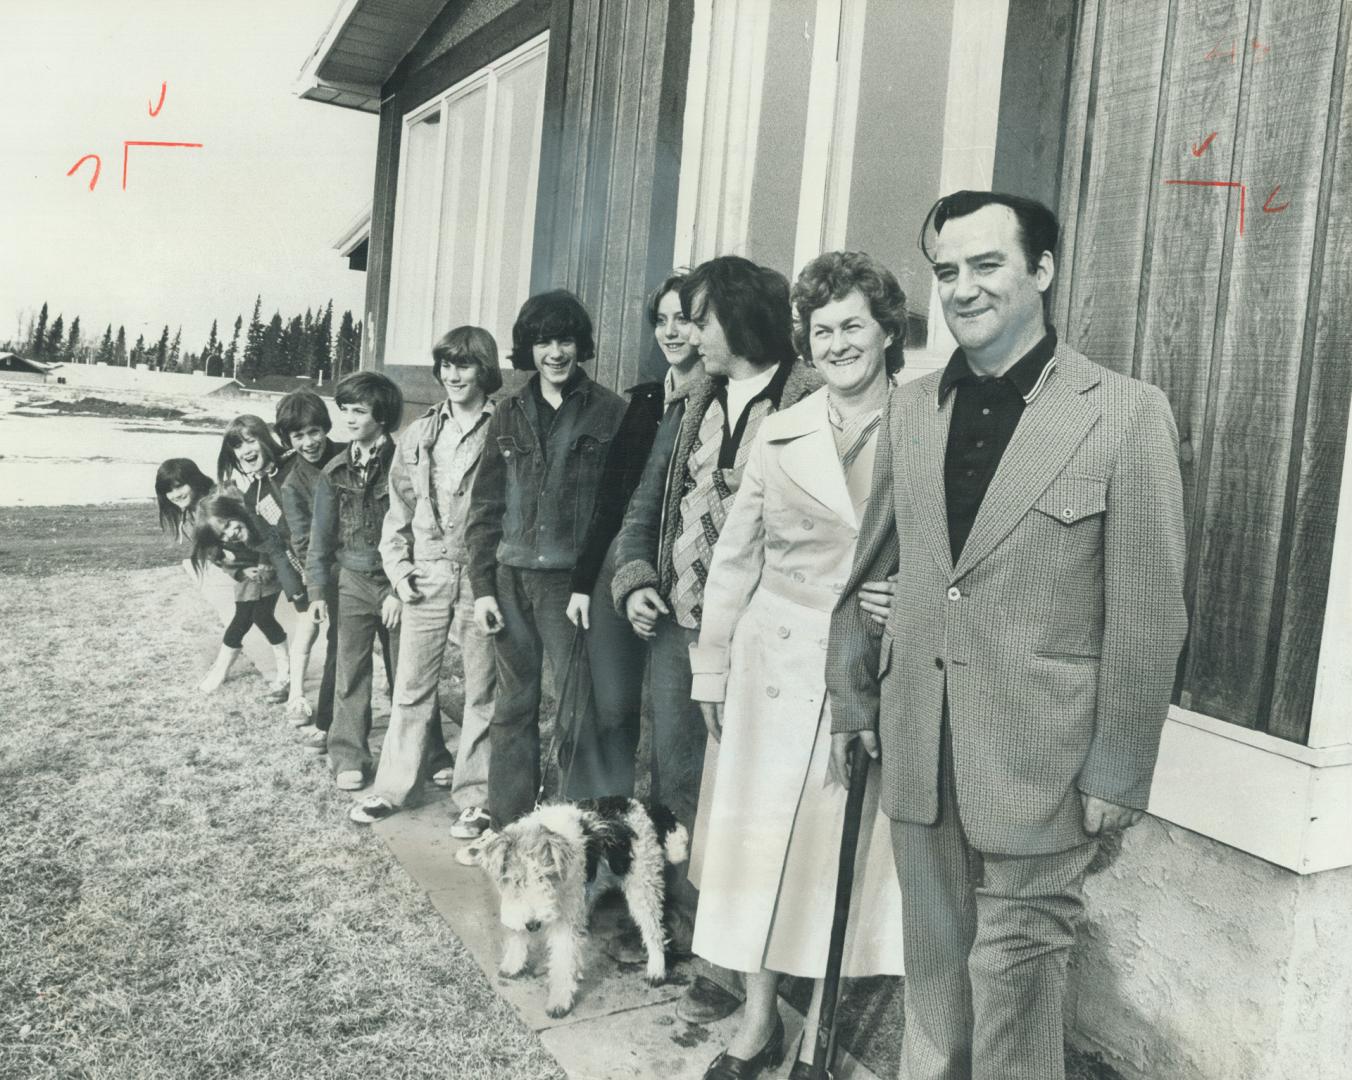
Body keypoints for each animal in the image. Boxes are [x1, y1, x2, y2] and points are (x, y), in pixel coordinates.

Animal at [478, 794, 686, 1016]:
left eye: (545, 877)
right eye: (517, 881)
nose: (534, 925)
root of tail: (640, 805)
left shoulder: (565, 919)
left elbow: (563, 958)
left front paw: (559, 1002)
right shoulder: (519, 909)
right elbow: (519, 935)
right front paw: (513, 965)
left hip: (642, 885)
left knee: (654, 930)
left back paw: (656, 970)